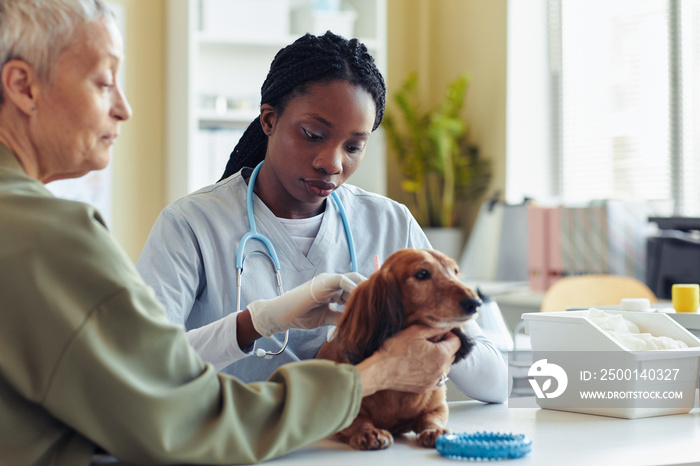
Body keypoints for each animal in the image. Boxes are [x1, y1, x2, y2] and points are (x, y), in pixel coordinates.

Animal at [318, 249, 482, 450]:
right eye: (422, 274)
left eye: (455, 271)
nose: (475, 303)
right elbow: (358, 420)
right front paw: (369, 432)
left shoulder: (438, 406)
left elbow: (431, 417)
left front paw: (434, 430)